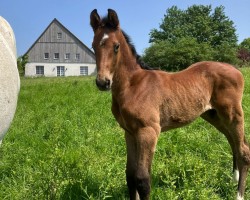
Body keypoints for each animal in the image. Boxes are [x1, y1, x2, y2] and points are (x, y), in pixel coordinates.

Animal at [90, 8, 250, 200]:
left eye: (116, 46)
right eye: (93, 46)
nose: (103, 82)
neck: (133, 85)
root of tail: (235, 69)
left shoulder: (148, 131)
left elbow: (142, 179)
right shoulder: (129, 132)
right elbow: (130, 175)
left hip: (233, 113)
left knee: (243, 150)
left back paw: (238, 194)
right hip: (214, 115)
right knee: (234, 142)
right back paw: (234, 180)